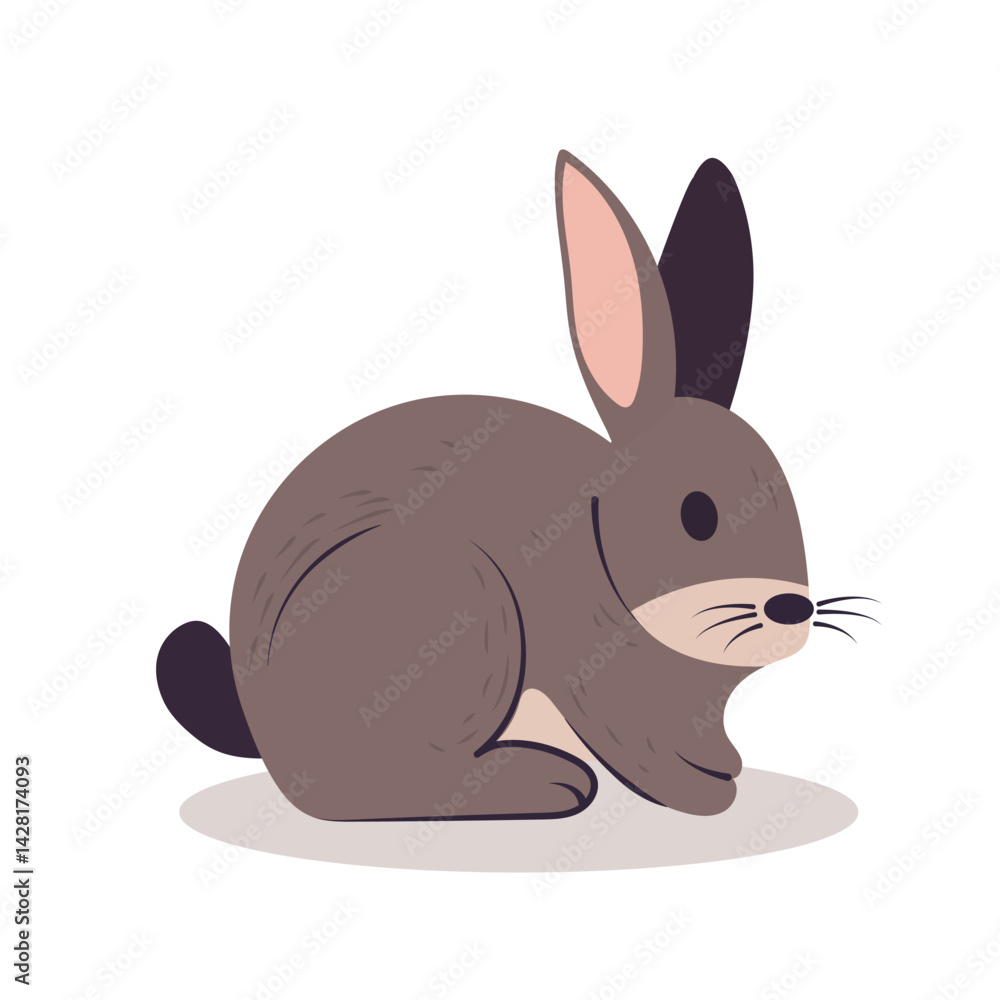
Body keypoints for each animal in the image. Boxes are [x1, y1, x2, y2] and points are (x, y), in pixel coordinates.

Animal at [158, 150, 831, 822]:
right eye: (697, 515)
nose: (791, 609)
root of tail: (264, 726)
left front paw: (728, 770)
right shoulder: (597, 679)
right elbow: (640, 750)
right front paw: (705, 796)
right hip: (459, 601)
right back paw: (545, 783)